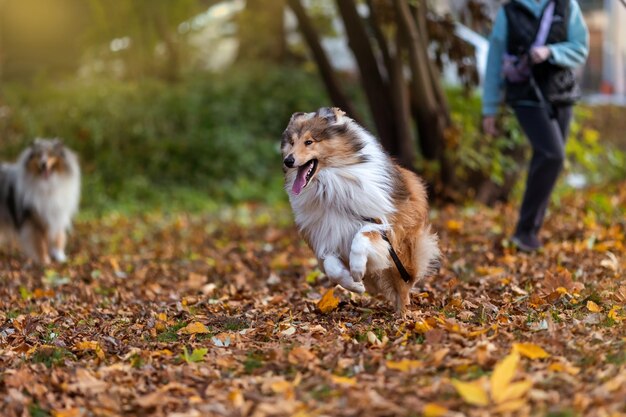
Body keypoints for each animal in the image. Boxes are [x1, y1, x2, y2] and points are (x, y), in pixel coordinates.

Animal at [280, 107, 436, 312]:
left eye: (309, 142)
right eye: (291, 143)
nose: (288, 161)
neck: (328, 186)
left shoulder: (382, 223)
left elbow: (361, 236)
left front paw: (357, 268)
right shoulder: (325, 236)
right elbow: (331, 266)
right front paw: (354, 285)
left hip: (402, 256)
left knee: (404, 287)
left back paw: (401, 314)